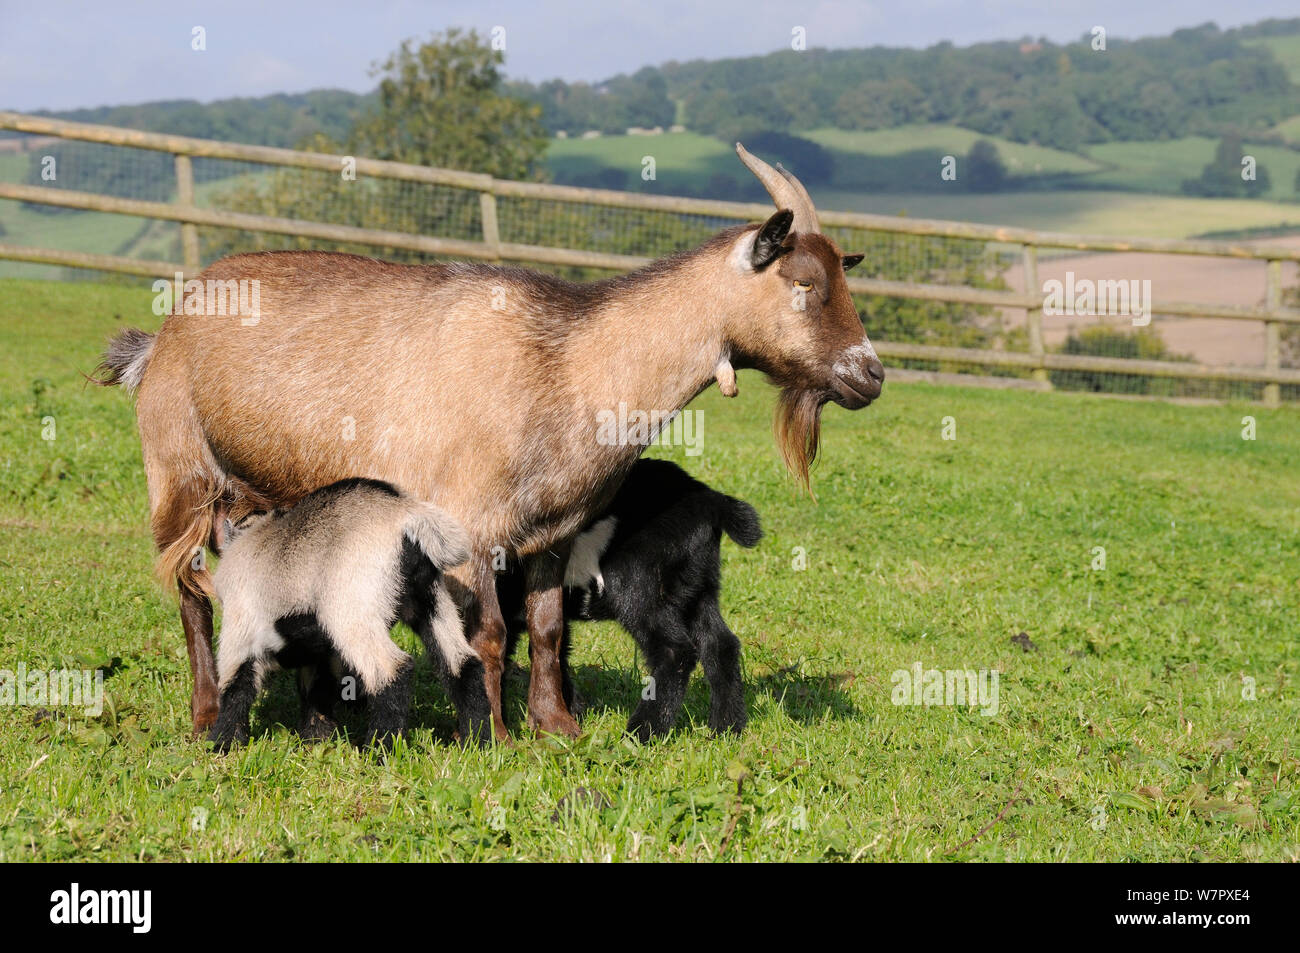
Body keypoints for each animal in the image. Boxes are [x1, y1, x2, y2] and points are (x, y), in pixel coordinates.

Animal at [96, 143, 878, 738]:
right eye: (804, 282)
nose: (869, 374)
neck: (567, 362)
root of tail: (160, 336)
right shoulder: (468, 526)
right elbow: (490, 636)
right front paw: (497, 735)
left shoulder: (553, 532)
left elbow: (549, 629)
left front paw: (557, 728)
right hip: (179, 473)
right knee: (192, 592)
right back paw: (205, 715)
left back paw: (316, 721)